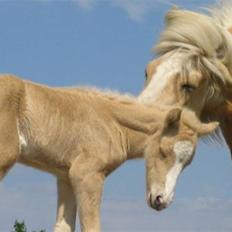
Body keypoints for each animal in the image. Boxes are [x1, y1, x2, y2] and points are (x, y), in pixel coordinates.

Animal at [0, 74, 218, 230]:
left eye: (187, 163)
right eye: (163, 152)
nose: (161, 200)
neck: (111, 123)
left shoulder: (65, 176)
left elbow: (63, 226)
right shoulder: (87, 175)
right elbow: (92, 227)